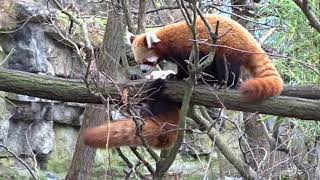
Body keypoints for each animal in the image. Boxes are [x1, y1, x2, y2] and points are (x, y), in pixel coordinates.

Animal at [129, 14, 284, 101]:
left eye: (147, 61)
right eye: (138, 62)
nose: (143, 71)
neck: (165, 40)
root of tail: (250, 40)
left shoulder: (190, 48)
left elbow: (192, 64)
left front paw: (190, 77)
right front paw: (175, 76)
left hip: (230, 48)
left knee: (228, 67)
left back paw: (225, 83)